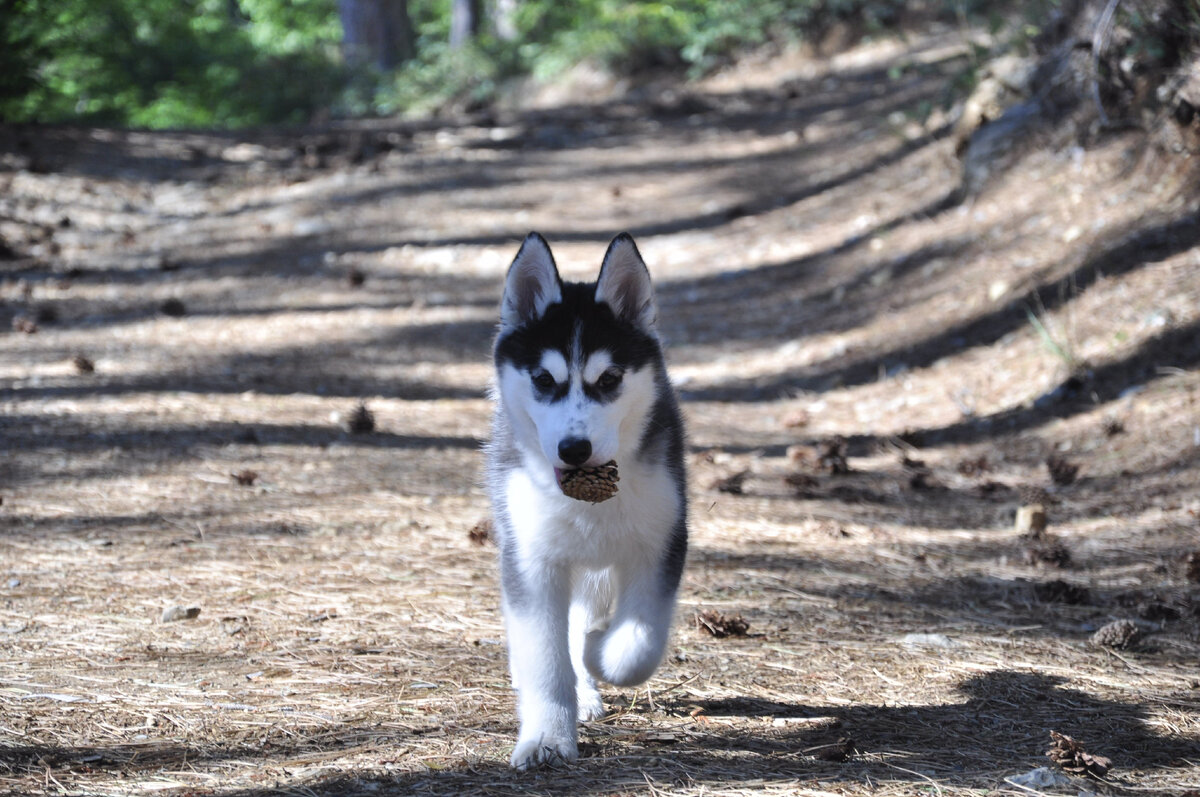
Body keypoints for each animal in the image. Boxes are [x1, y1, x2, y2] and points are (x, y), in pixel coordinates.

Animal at [484, 234, 691, 768]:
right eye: (542, 379)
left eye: (610, 378)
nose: (573, 449)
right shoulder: (531, 559)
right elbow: (545, 657)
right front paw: (546, 737)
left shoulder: (661, 543)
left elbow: (637, 644)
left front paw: (598, 651)